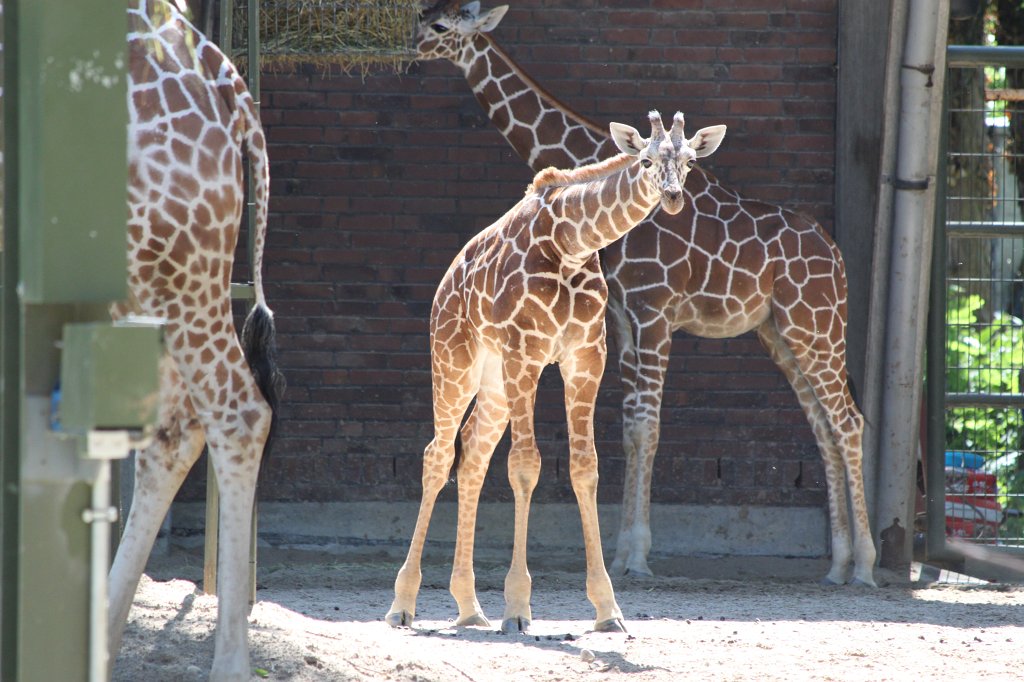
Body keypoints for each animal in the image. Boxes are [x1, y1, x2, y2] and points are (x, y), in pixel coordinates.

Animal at [385, 111, 726, 633]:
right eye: (646, 160)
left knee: (473, 457)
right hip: (454, 361)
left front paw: (607, 608)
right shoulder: (525, 352)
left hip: (495, 382)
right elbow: (525, 466)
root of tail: (446, 281)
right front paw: (518, 607)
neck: (572, 242)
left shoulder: (585, 357)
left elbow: (585, 468)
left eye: (689, 161)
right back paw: (403, 604)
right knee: (437, 455)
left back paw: (469, 607)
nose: (671, 197)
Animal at [414, 1, 877, 587]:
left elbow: (648, 425)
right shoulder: (624, 317)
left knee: (849, 421)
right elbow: (631, 425)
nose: (410, 47)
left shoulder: (654, 311)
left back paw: (865, 564)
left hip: (816, 325)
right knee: (822, 424)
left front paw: (636, 554)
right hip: (780, 333)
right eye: (424, 17)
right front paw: (619, 551)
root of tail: (836, 256)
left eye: (441, 26)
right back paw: (837, 564)